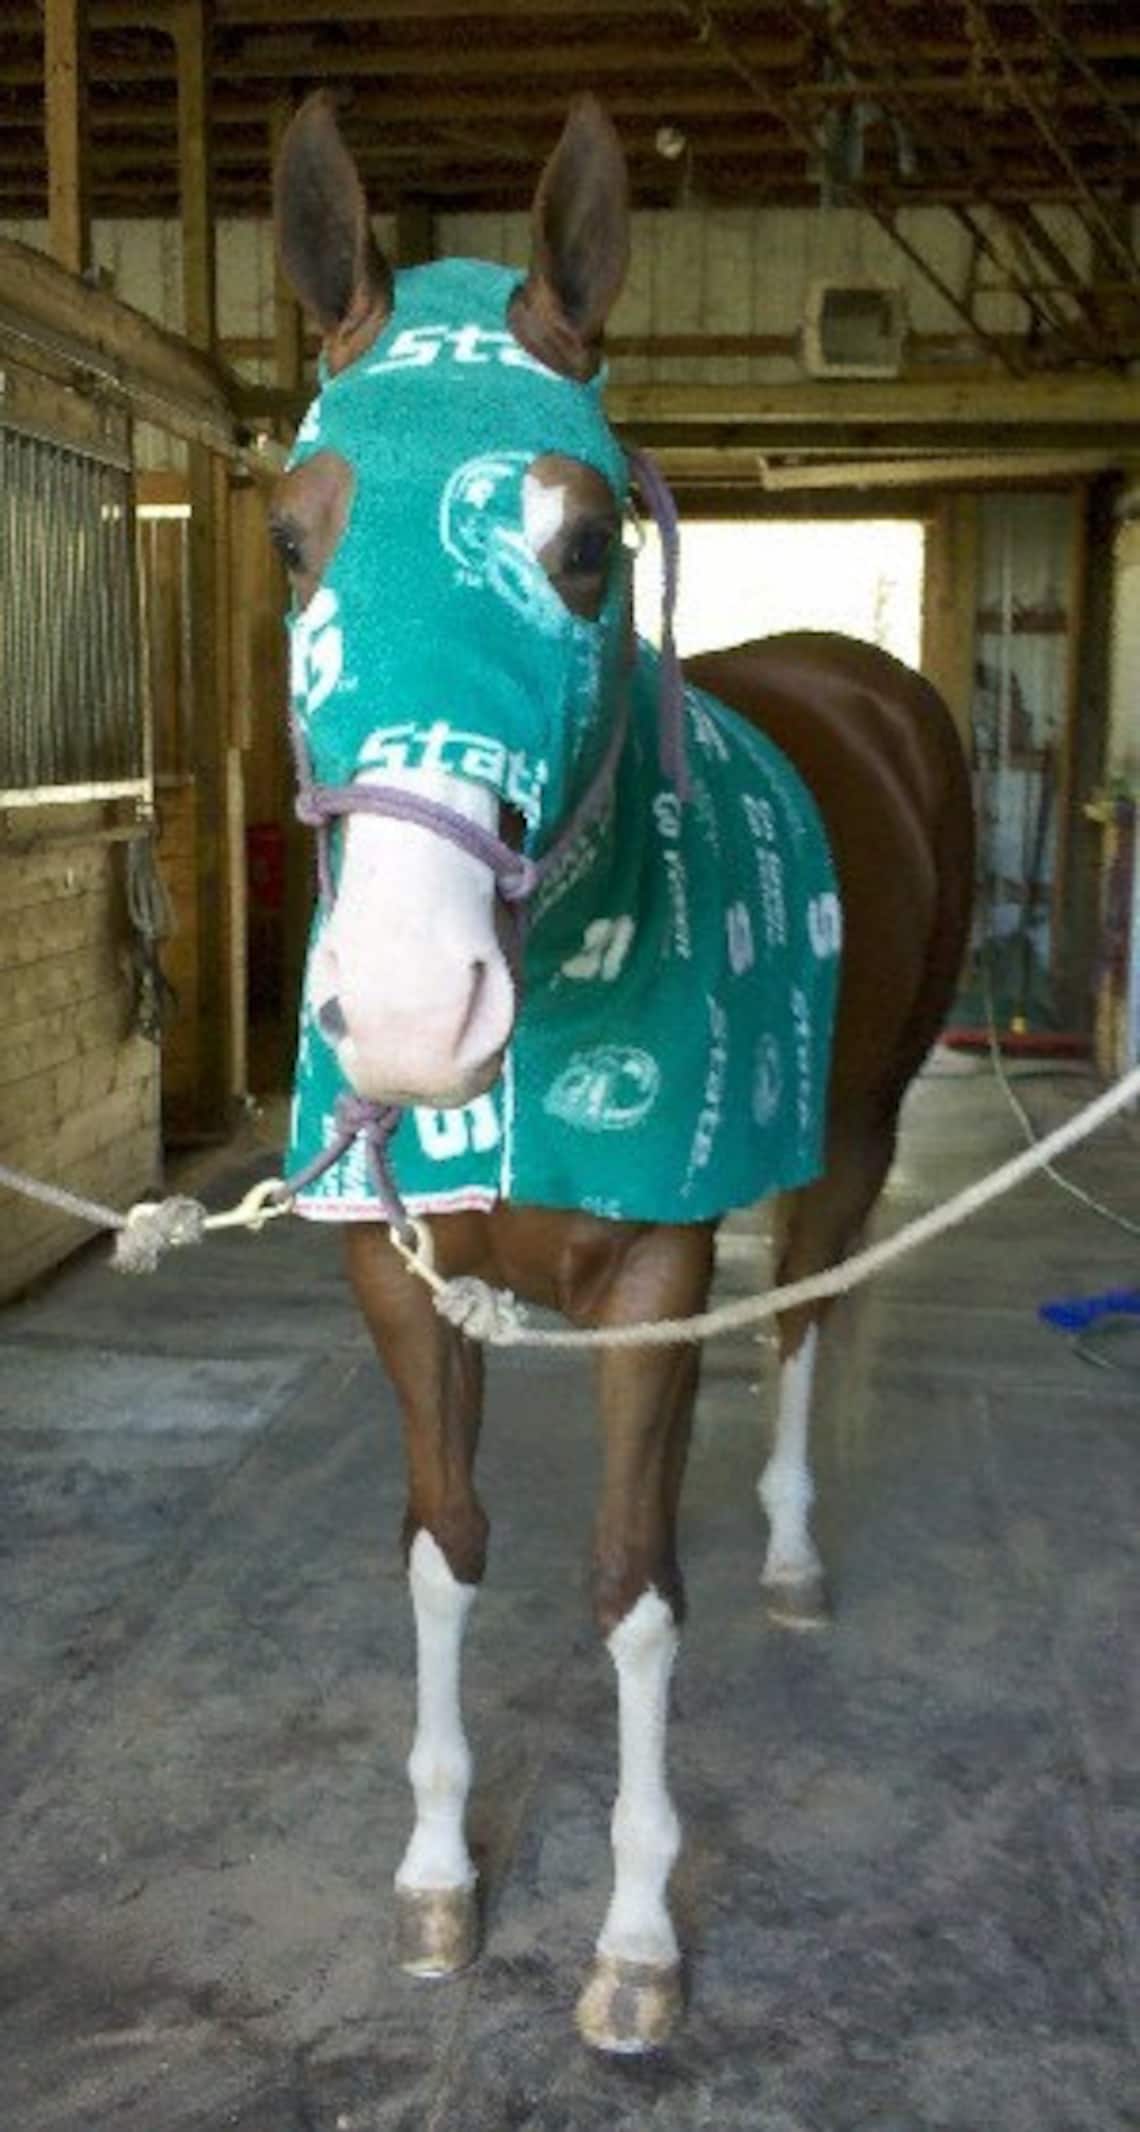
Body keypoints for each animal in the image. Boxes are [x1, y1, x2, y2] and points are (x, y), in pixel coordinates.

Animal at [269, 91, 974, 2055]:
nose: (410, 1009)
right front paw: (439, 1880)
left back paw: (797, 1552)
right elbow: (441, 1544)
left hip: (859, 1122)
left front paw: (639, 1938)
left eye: (586, 548)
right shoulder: (392, 1268)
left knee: (808, 1309)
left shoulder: (658, 1268)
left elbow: (631, 1589)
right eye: (291, 545)